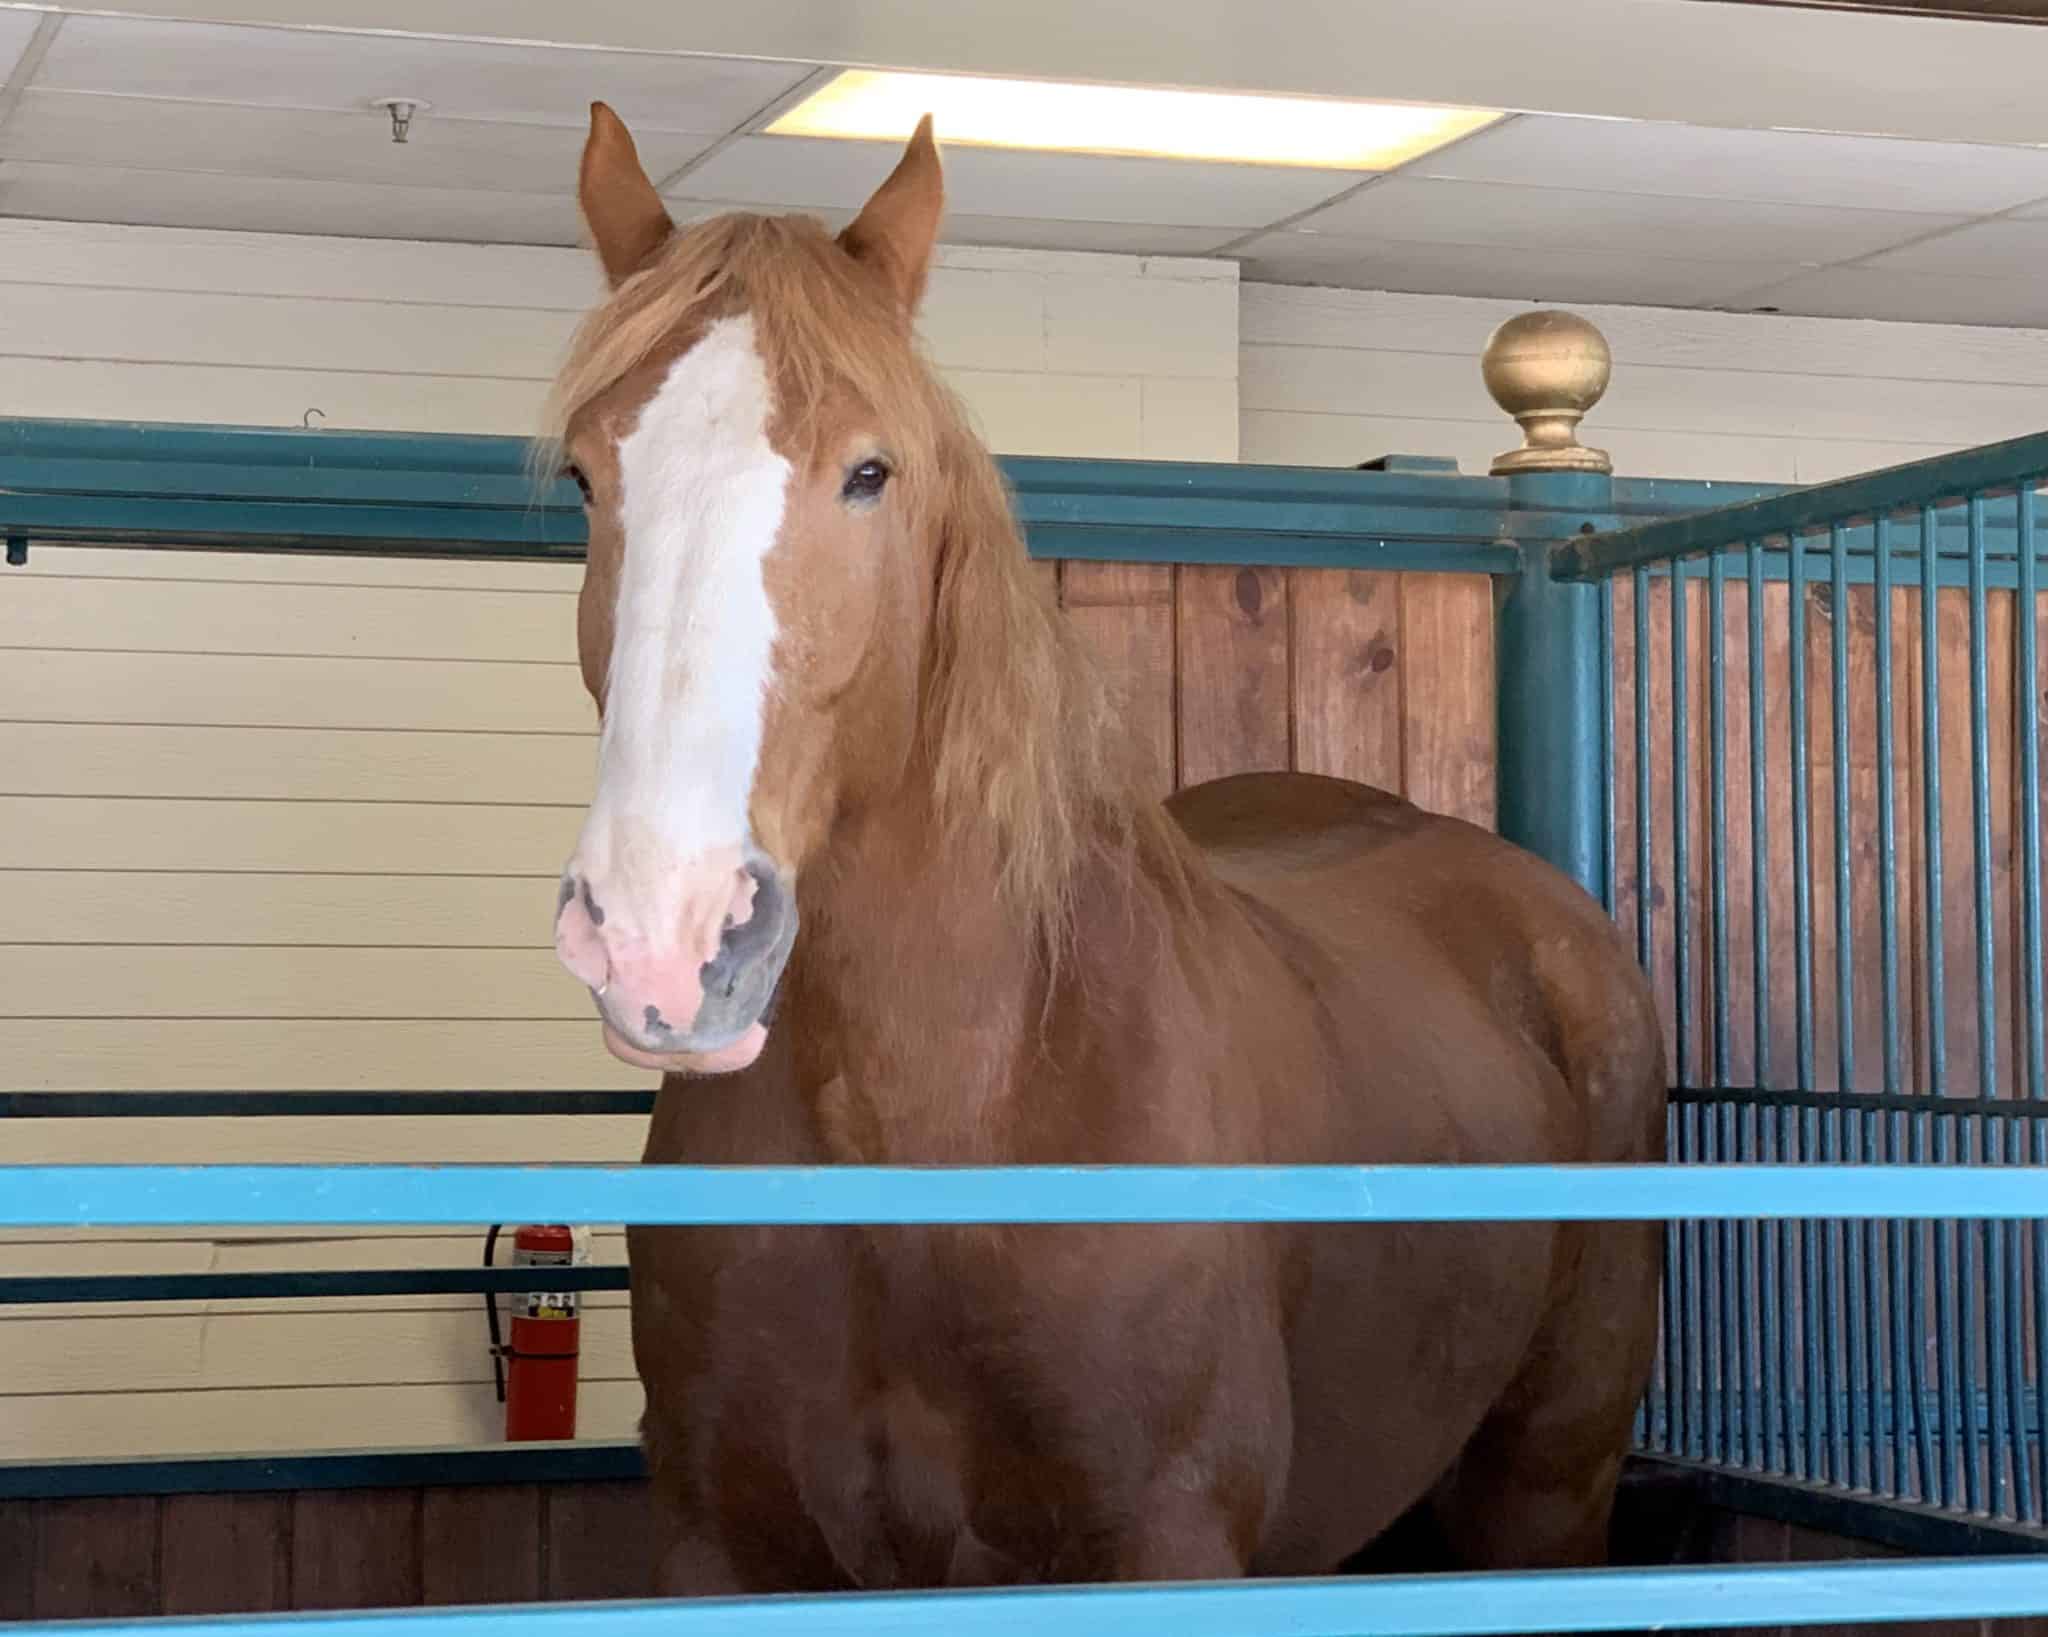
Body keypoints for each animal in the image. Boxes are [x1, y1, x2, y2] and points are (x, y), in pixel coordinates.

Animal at [544, 96, 1662, 1598]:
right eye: (586, 474)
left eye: (869, 472)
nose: (662, 928)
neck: (938, 1117)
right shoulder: (720, 1547)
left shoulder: (1161, 1541)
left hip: (1547, 1491)